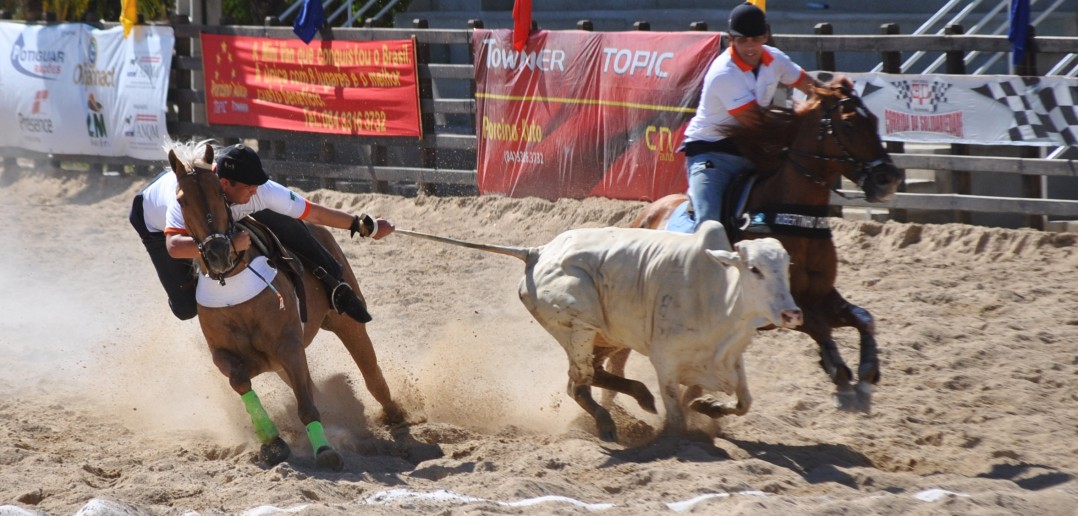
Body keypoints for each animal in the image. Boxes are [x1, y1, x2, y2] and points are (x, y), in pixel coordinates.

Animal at [163, 138, 405, 469]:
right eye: (182, 200)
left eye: (218, 192)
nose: (218, 253)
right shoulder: (226, 355)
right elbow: (241, 381)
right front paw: (272, 442)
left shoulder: (289, 345)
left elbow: (307, 405)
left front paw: (325, 450)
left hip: (346, 322)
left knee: (371, 375)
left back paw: (395, 414)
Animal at [396, 219, 802, 441]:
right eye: (754, 269)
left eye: (786, 267)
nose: (792, 313)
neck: (716, 295)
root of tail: (537, 251)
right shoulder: (666, 360)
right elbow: (674, 411)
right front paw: (679, 431)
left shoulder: (731, 358)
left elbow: (744, 401)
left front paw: (708, 405)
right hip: (579, 326)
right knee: (578, 384)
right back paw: (608, 423)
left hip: (604, 335)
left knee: (595, 375)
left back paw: (639, 397)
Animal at [620, 79, 905, 411]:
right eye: (848, 124)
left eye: (873, 119)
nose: (889, 178)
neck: (792, 217)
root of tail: (644, 215)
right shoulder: (781, 306)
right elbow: (817, 325)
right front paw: (840, 373)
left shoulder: (821, 293)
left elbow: (864, 318)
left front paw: (867, 370)